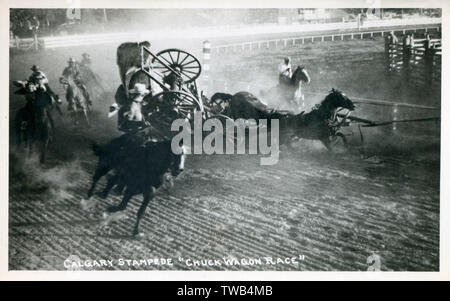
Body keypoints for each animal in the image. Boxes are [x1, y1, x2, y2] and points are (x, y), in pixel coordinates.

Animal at [219, 88, 356, 150]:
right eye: (342, 97)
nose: (354, 106)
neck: (323, 117)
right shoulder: (323, 137)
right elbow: (331, 148)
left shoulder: (330, 134)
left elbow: (341, 136)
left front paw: (346, 148)